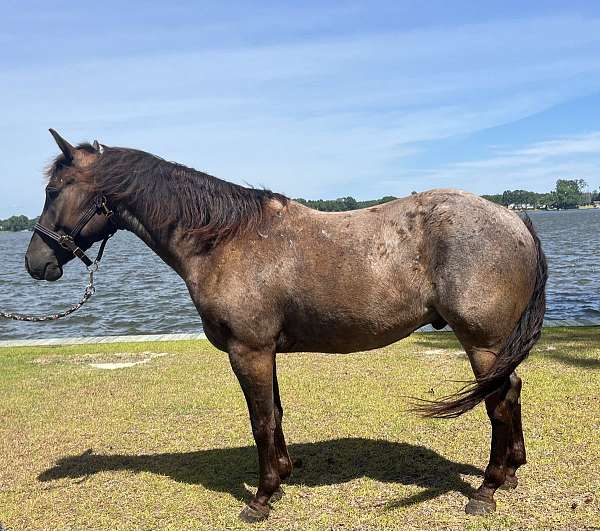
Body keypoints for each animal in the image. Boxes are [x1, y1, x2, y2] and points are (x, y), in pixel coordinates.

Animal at [24, 130, 548, 524]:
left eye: (53, 191)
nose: (35, 263)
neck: (224, 239)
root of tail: (515, 219)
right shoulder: (264, 351)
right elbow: (274, 414)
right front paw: (281, 478)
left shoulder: (249, 350)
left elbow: (259, 420)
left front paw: (261, 497)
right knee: (513, 391)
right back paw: (512, 471)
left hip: (482, 343)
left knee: (500, 402)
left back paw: (486, 490)